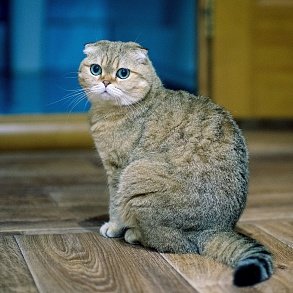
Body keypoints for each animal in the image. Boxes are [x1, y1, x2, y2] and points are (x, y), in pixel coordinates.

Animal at [77, 40, 272, 286]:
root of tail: (213, 229)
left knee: (173, 243)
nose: (104, 82)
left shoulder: (118, 171)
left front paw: (113, 226)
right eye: (96, 69)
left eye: (123, 73)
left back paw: (134, 233)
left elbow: (115, 206)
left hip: (136, 175)